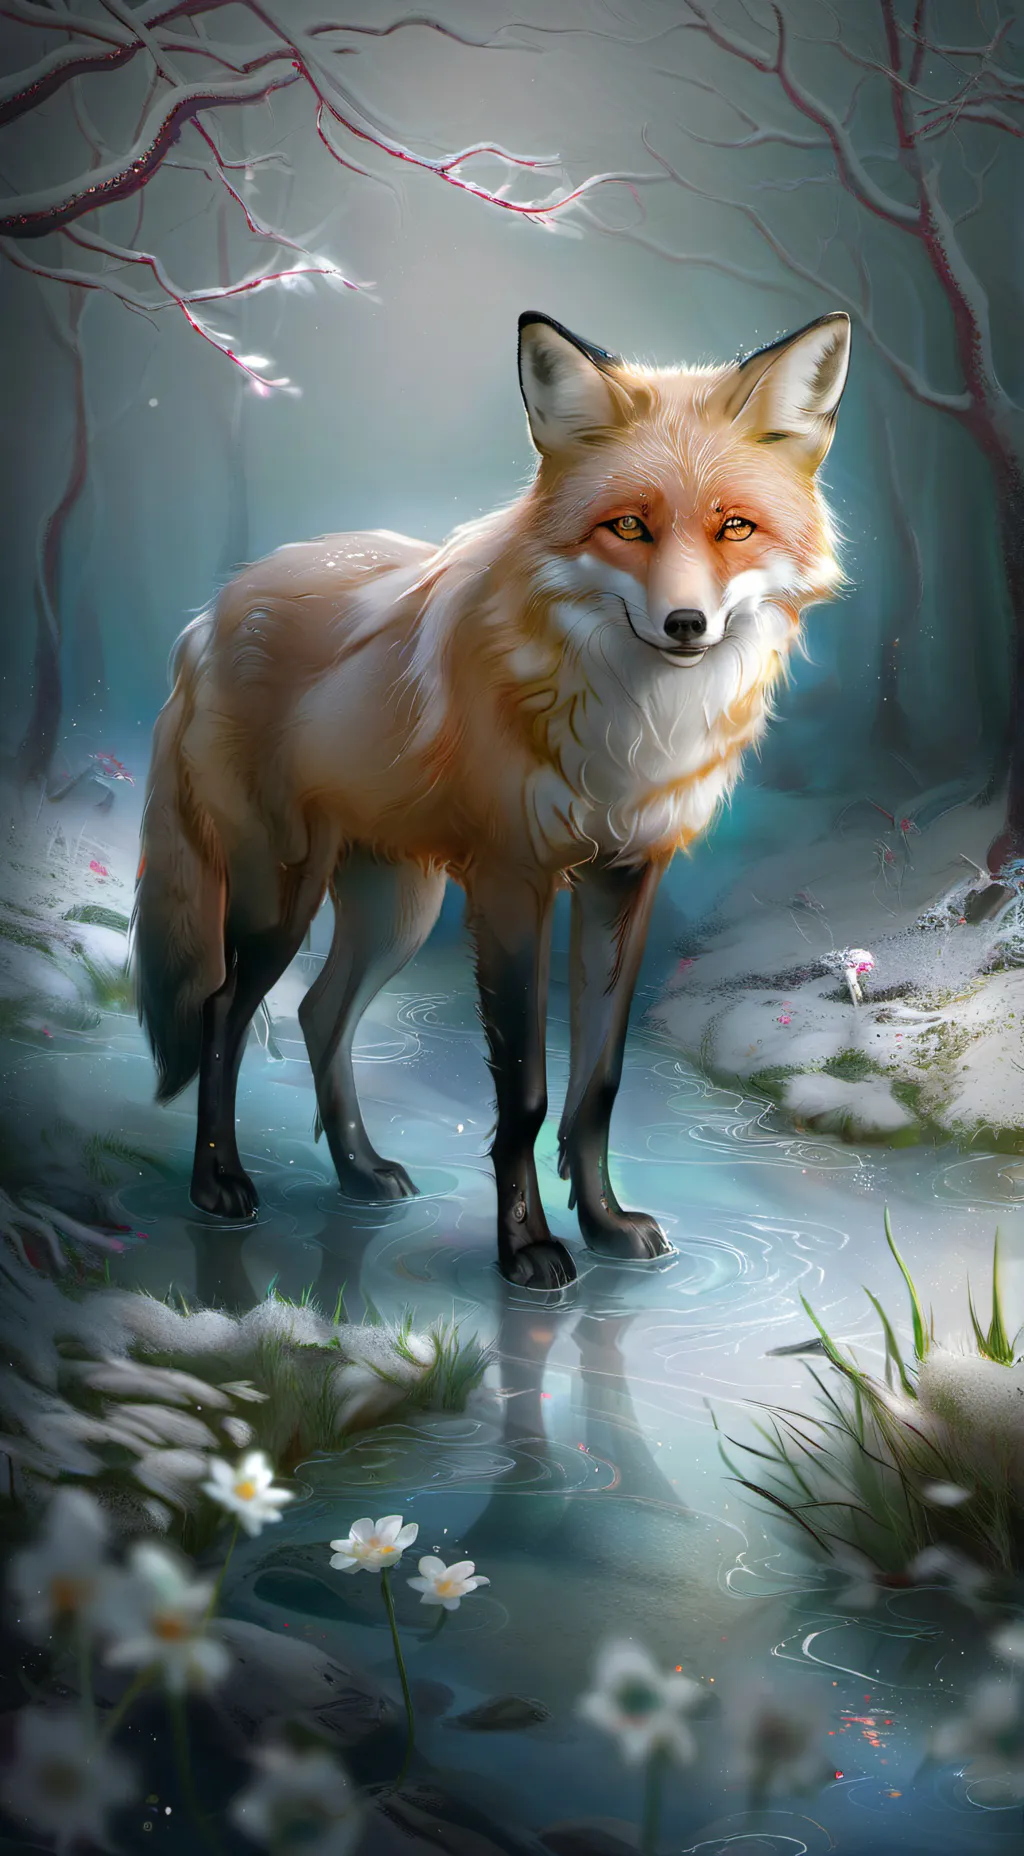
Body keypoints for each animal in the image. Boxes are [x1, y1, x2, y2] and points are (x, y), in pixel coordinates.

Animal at [133, 308, 851, 1290]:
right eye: (629, 526)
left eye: (734, 527)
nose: (686, 625)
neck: (627, 730)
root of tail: (209, 615)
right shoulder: (515, 883)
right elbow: (527, 1093)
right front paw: (528, 1247)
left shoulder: (626, 877)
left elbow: (597, 1085)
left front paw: (605, 1225)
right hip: (282, 895)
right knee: (219, 1009)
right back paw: (219, 1183)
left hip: (397, 909)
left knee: (320, 1014)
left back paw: (358, 1171)